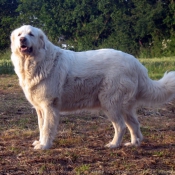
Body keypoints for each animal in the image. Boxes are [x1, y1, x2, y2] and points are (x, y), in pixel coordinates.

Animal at [10, 25, 175, 150]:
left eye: (31, 34)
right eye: (19, 34)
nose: (22, 39)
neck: (36, 62)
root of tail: (136, 63)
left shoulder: (49, 106)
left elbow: (46, 128)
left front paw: (44, 146)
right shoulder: (40, 108)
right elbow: (41, 126)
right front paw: (40, 142)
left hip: (110, 103)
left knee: (121, 126)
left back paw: (113, 145)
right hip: (124, 106)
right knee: (134, 124)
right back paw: (133, 144)